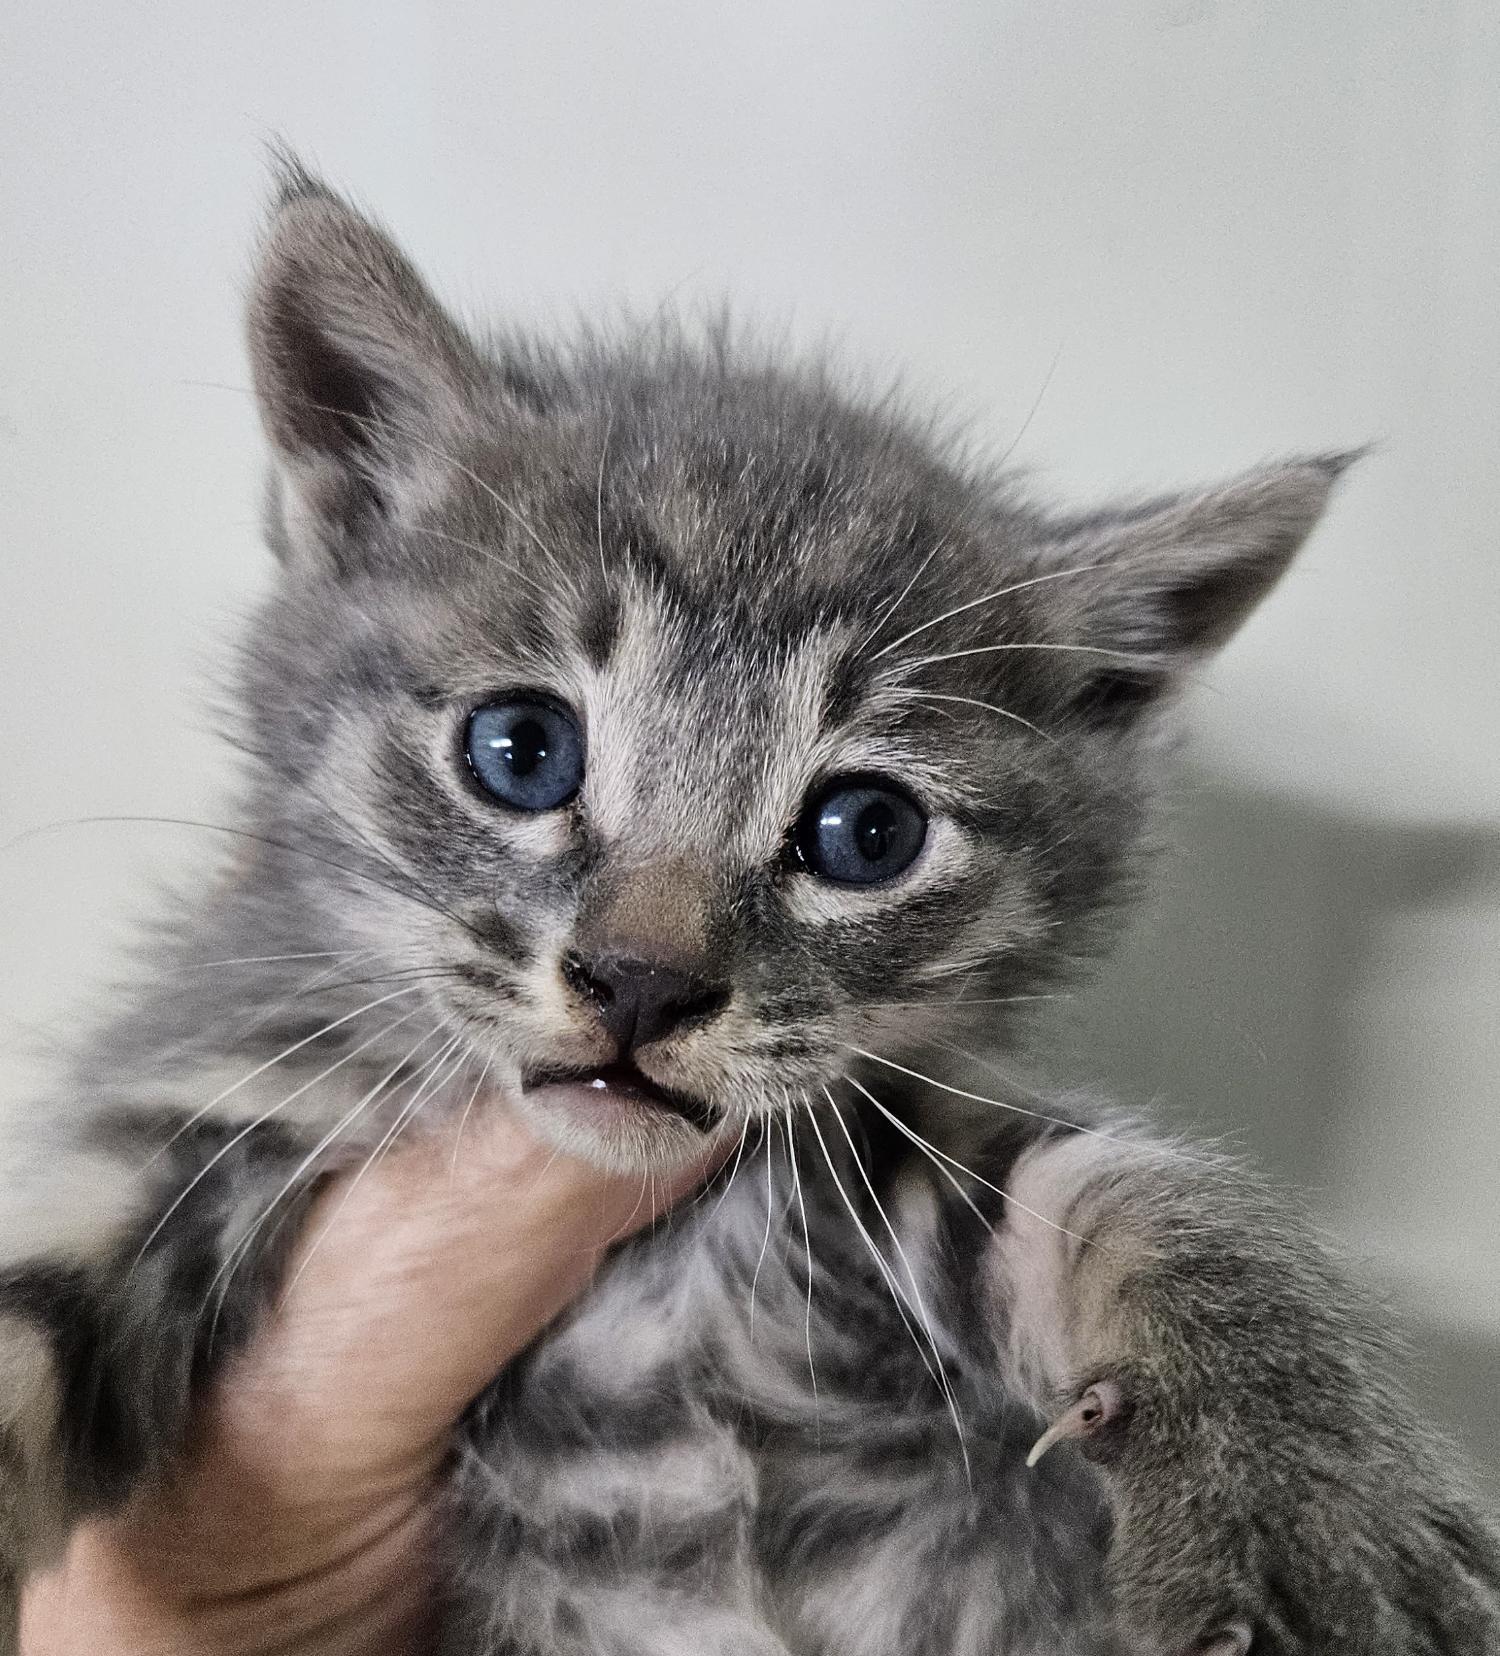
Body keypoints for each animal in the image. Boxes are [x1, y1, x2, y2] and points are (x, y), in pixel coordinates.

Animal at [2, 164, 1496, 1656]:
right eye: (520, 750)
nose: (640, 983)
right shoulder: (213, 1082)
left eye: (866, 833)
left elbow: (1158, 1200)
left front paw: (1304, 1501)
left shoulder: (884, 1128)